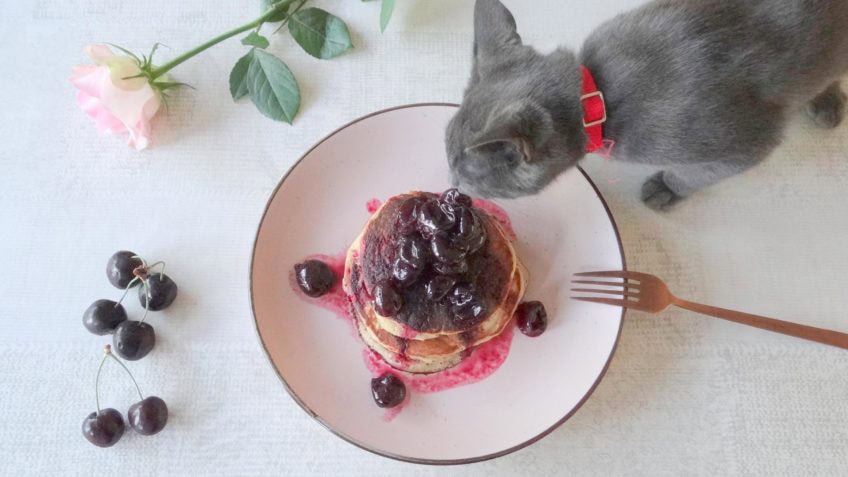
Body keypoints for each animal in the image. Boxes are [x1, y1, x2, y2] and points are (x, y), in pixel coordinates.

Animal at [448, 0, 848, 208]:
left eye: (465, 174)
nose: (452, 185)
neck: (599, 98)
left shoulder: (750, 143)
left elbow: (698, 172)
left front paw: (667, 186)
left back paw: (826, 100)